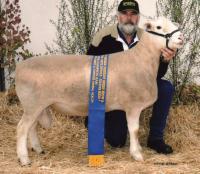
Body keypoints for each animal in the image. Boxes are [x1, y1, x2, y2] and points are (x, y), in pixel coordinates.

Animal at [15, 17, 184, 166]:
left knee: (32, 127)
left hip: (37, 106)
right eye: (158, 27)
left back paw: (38, 149)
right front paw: (137, 154)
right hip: (32, 104)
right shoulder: (133, 105)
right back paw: (24, 159)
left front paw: (138, 150)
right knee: (22, 128)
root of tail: (19, 68)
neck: (141, 59)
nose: (181, 37)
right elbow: (134, 130)